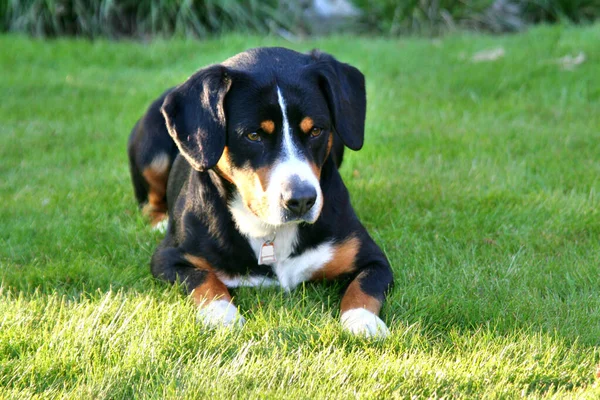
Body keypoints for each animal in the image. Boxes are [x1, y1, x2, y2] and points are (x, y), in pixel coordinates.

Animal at [126, 47, 394, 338]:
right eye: (253, 135)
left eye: (315, 130)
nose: (301, 200)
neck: (270, 232)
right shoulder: (169, 259)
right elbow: (205, 279)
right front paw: (222, 314)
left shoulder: (370, 257)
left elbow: (363, 287)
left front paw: (362, 321)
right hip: (153, 154)